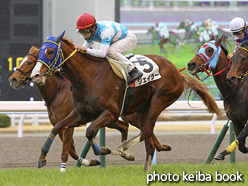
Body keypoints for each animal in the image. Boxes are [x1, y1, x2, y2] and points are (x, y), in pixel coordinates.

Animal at [29, 30, 221, 171]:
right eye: (38, 54)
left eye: (50, 51)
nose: (35, 75)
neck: (88, 76)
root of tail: (176, 71)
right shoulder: (81, 113)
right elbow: (57, 126)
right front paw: (42, 158)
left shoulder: (110, 113)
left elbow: (90, 131)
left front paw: (102, 150)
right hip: (143, 108)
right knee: (148, 137)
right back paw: (145, 167)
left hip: (160, 99)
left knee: (146, 131)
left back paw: (122, 149)